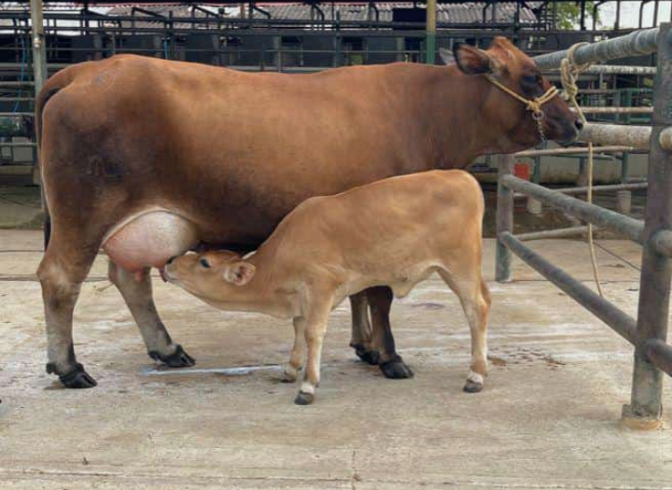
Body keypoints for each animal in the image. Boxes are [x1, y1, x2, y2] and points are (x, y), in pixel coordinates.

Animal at [162, 170, 490, 405]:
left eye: (204, 263)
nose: (169, 261)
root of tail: (462, 176)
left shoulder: (321, 286)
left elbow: (312, 333)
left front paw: (307, 385)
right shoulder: (301, 298)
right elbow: (297, 329)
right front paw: (290, 368)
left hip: (460, 266)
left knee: (477, 309)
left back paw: (475, 375)